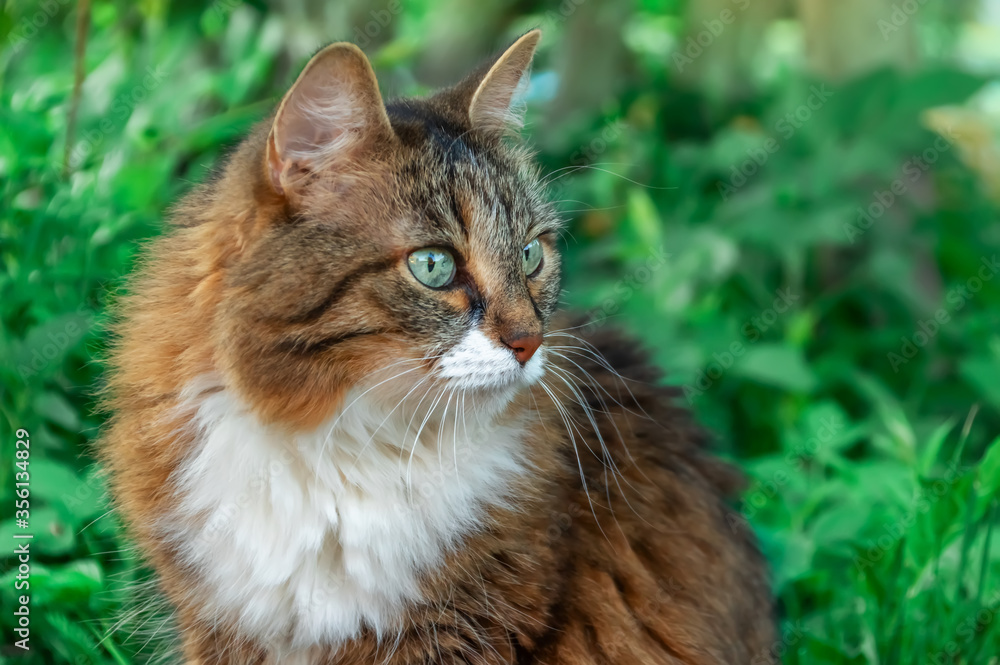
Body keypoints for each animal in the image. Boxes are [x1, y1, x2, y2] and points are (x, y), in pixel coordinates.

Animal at [99, 28, 772, 660]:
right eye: (433, 266)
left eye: (531, 255)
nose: (530, 343)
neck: (337, 448)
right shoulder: (218, 622)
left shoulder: (469, 623)